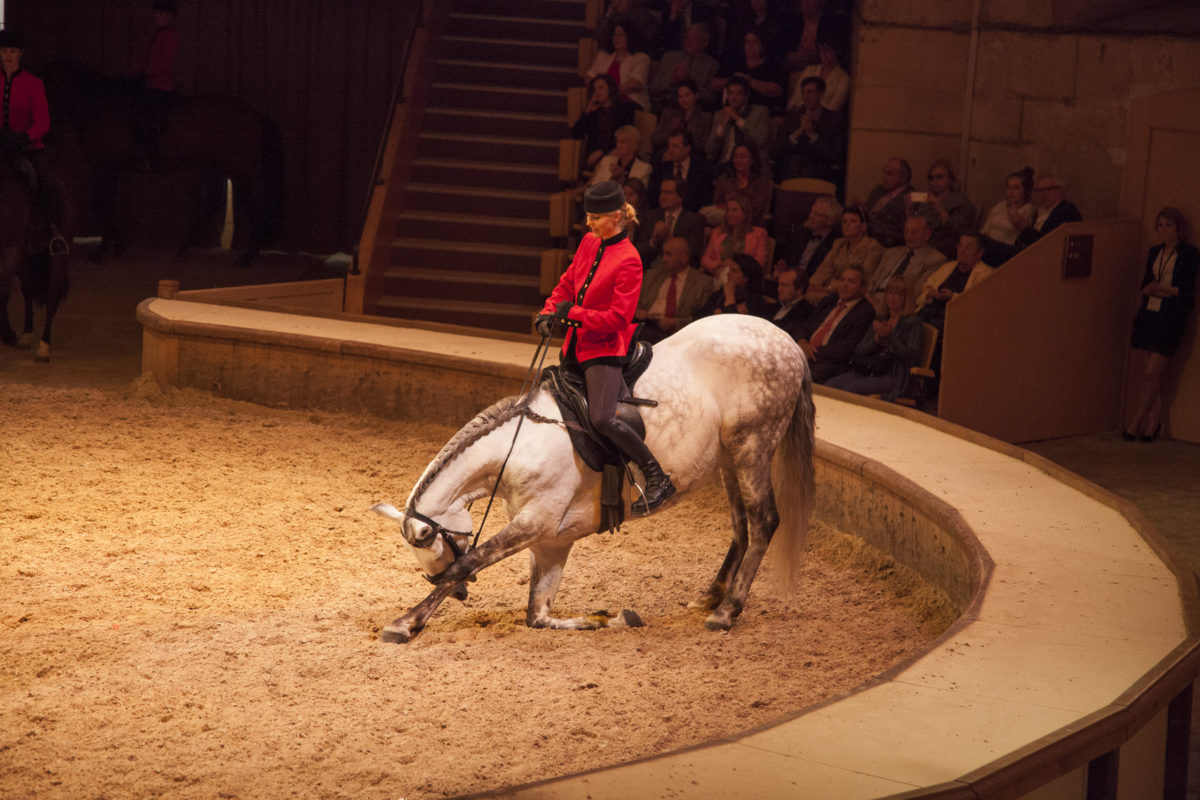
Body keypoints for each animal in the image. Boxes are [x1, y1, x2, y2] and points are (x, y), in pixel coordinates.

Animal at [0, 150, 70, 362]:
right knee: (28, 290)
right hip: (24, 260)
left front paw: (8, 335)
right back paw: (26, 336)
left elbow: (3, 292)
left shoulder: (12, 249)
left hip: (57, 256)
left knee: (52, 297)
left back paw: (44, 347)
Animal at [39, 61, 282, 267]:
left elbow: (102, 205)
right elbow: (107, 205)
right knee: (215, 203)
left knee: (250, 204)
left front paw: (101, 251)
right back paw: (185, 247)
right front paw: (117, 245)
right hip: (216, 167)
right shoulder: (111, 170)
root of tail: (252, 113)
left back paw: (248, 256)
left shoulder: (105, 169)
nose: (47, 135)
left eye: (45, 91)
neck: (100, 108)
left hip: (237, 169)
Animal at [370, 315, 816, 643]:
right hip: (727, 458)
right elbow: (538, 616)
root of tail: (786, 341)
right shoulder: (551, 540)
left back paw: (726, 611)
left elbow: (473, 560)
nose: (459, 592)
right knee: (741, 526)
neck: (515, 451)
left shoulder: (536, 523)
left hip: (752, 447)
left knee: (763, 521)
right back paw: (711, 596)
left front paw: (406, 622)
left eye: (434, 544)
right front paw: (613, 617)